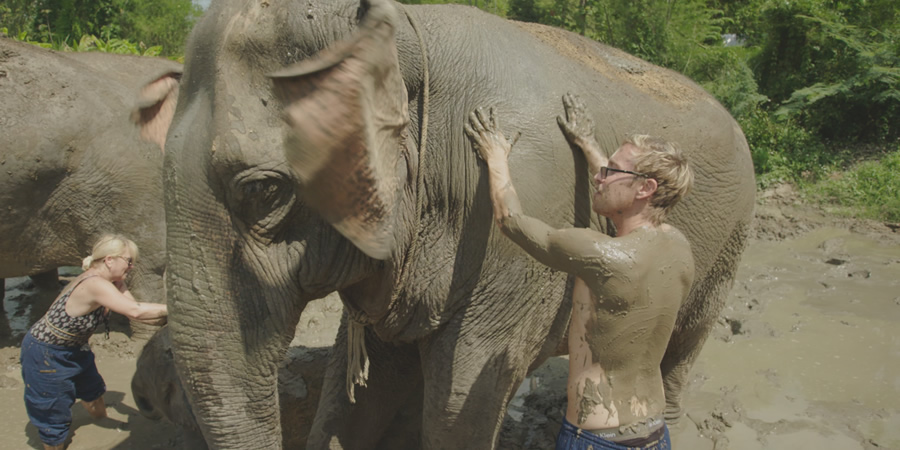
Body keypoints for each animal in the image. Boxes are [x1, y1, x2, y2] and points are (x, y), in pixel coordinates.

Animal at [144, 0, 756, 446]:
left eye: (262, 190)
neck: (402, 33)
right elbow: (362, 383)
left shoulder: (514, 236)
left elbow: (466, 394)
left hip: (731, 240)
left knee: (684, 341)